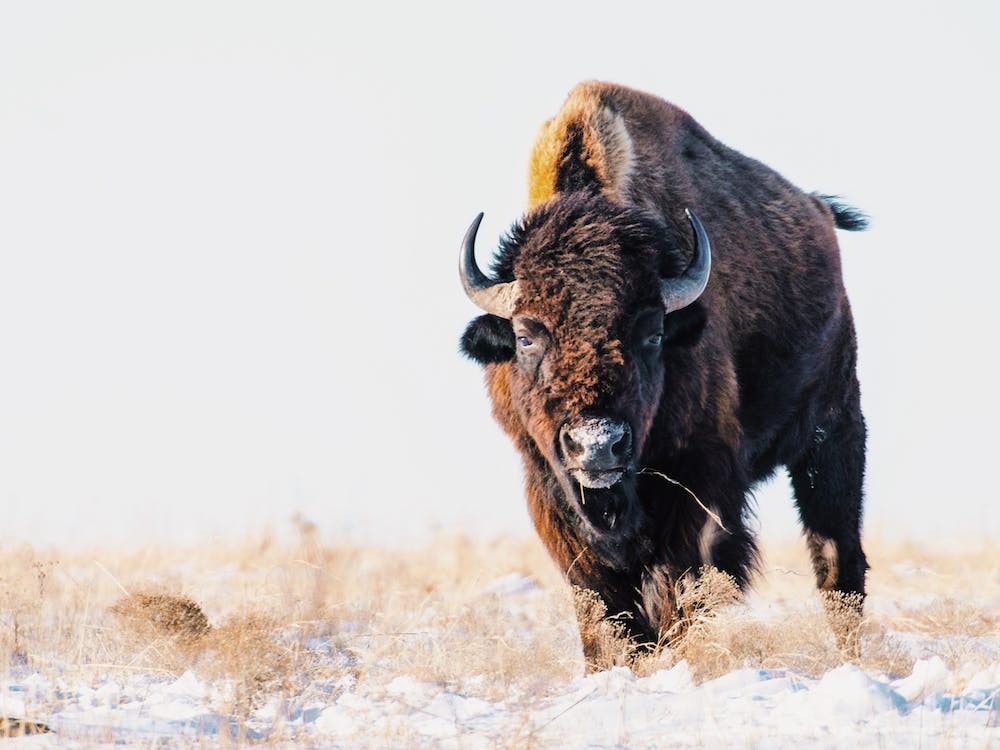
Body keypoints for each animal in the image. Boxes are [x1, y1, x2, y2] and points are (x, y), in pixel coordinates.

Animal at [459, 81, 869, 665]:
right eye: (525, 335)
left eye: (651, 332)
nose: (598, 446)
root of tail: (817, 211)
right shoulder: (547, 486)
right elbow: (602, 606)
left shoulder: (700, 483)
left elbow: (678, 588)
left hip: (833, 431)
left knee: (837, 558)